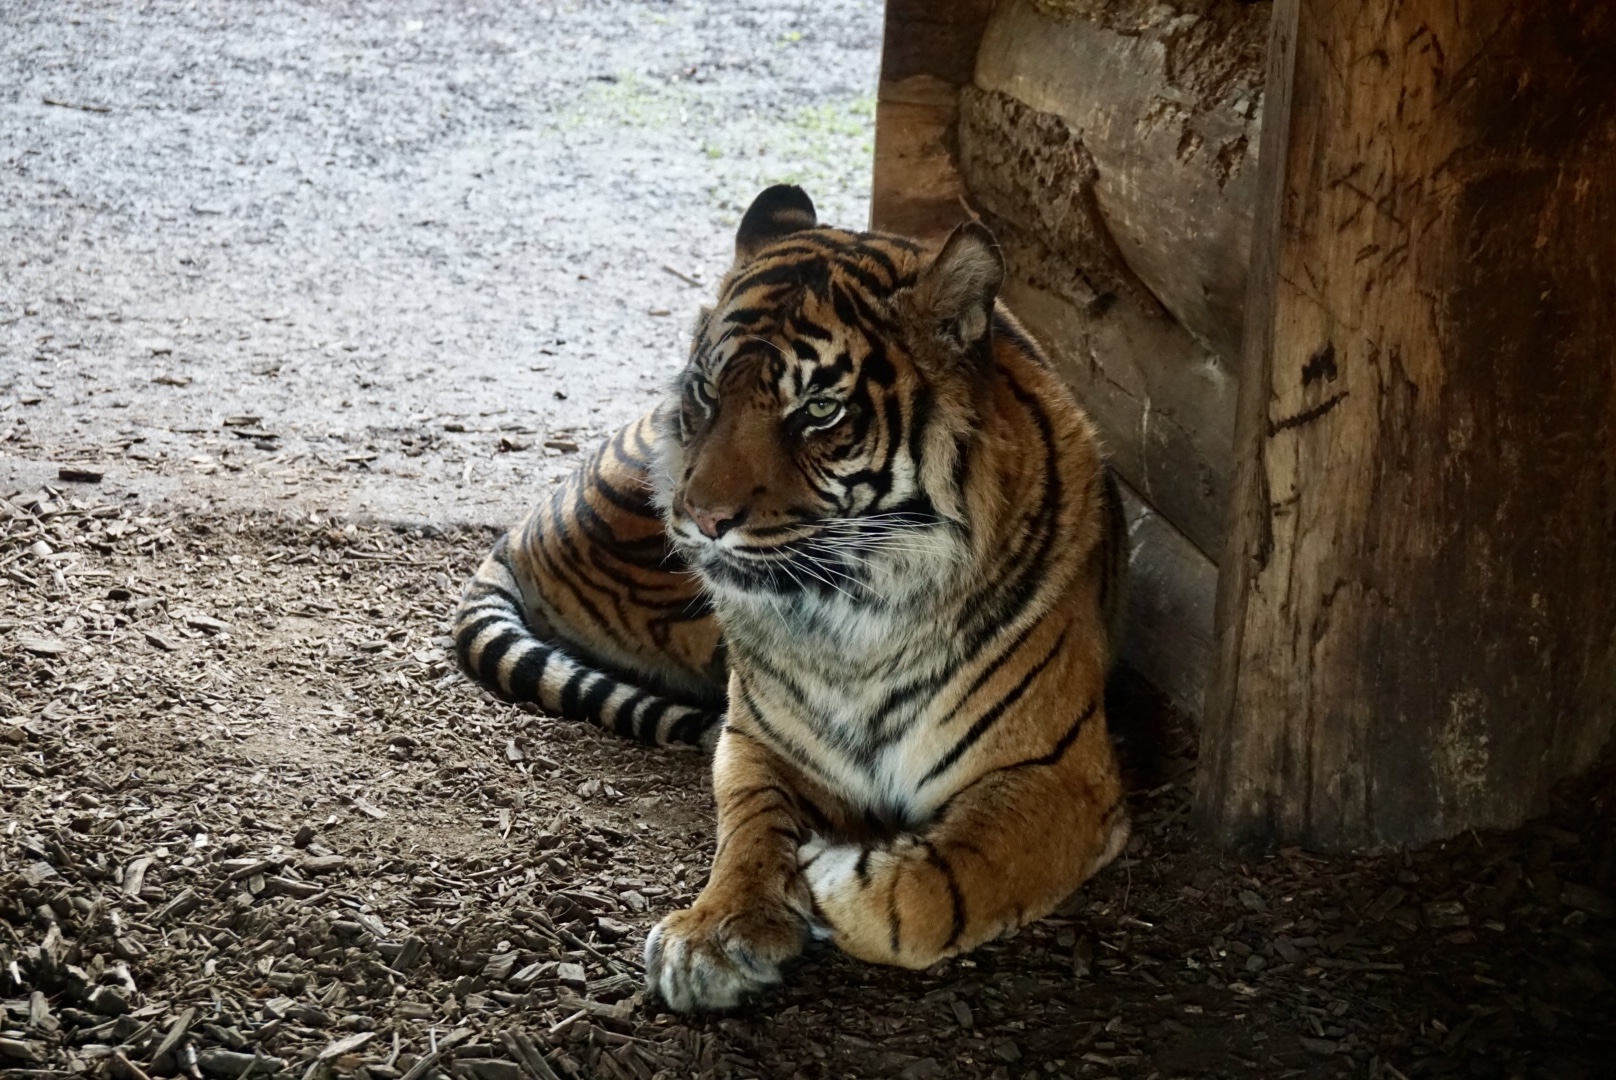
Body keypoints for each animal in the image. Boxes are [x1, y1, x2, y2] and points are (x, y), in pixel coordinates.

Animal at [453, 184, 1130, 1012]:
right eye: (708, 390)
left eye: (818, 410)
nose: (700, 517)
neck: (856, 616)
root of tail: (524, 527)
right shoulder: (758, 738)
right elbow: (748, 830)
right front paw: (713, 933)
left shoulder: (1056, 774)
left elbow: (939, 888)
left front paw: (832, 873)